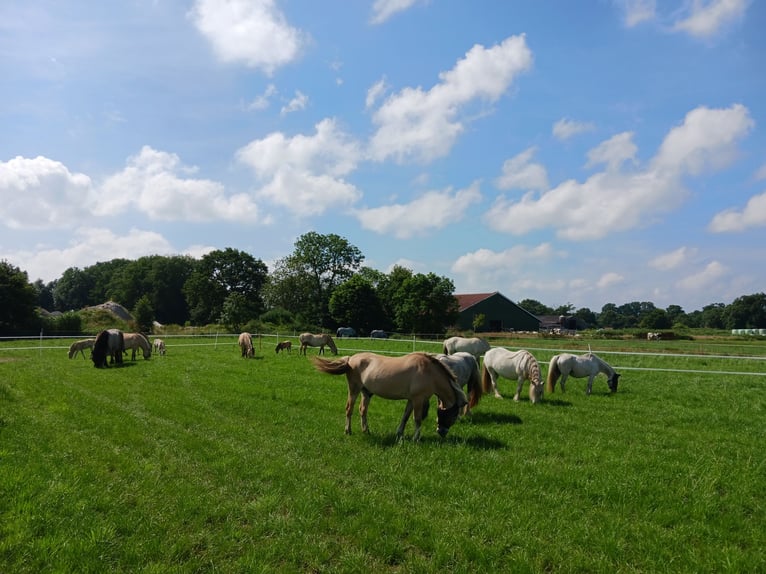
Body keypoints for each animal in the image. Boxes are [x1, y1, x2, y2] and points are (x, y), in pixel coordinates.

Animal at [311, 352, 470, 441]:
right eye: (453, 415)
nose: (442, 432)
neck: (429, 372)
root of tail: (350, 359)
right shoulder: (418, 399)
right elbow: (417, 419)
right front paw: (416, 438)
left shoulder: (411, 400)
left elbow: (405, 417)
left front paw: (399, 434)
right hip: (354, 389)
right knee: (349, 409)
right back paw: (348, 431)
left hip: (366, 392)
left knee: (363, 410)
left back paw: (366, 431)